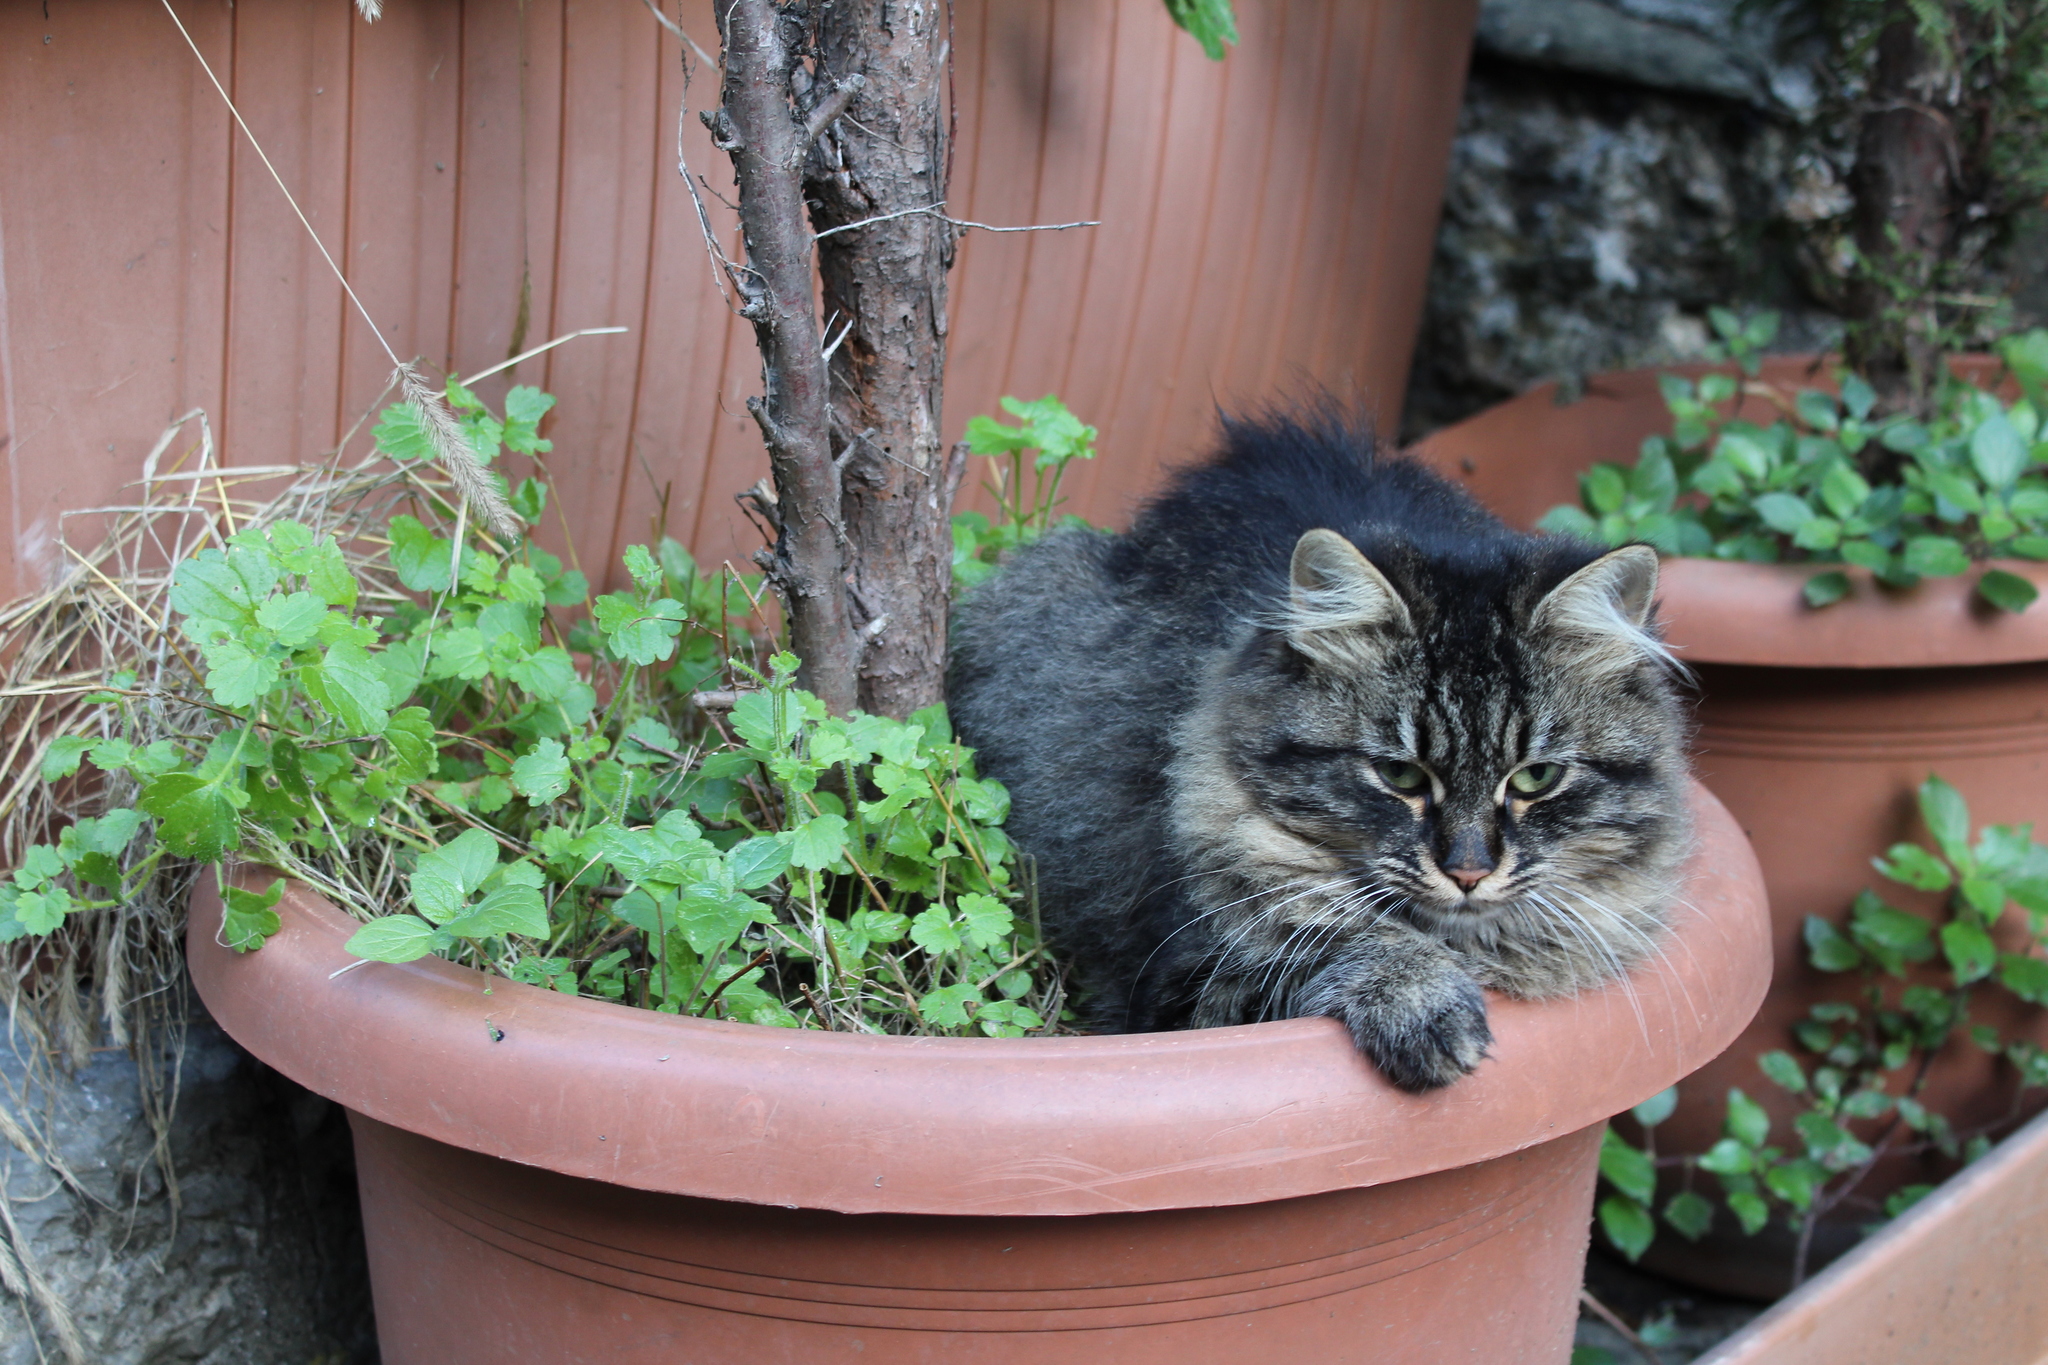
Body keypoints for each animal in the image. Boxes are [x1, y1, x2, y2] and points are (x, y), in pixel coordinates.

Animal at [950, 411, 1687, 1096]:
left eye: (1536, 778)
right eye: (1399, 774)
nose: (1469, 871)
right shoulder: (1182, 982)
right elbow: (1342, 940)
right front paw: (1423, 1003)